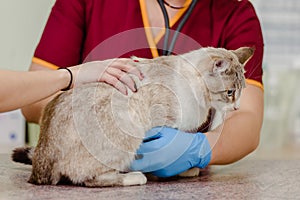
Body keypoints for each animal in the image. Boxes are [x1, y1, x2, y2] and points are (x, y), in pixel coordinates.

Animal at [11, 46, 252, 187]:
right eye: (230, 92)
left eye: (241, 92)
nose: (237, 107)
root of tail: (41, 159)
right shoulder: (165, 123)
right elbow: (165, 160)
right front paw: (171, 173)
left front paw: (187, 168)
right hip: (129, 129)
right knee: (88, 179)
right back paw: (134, 177)